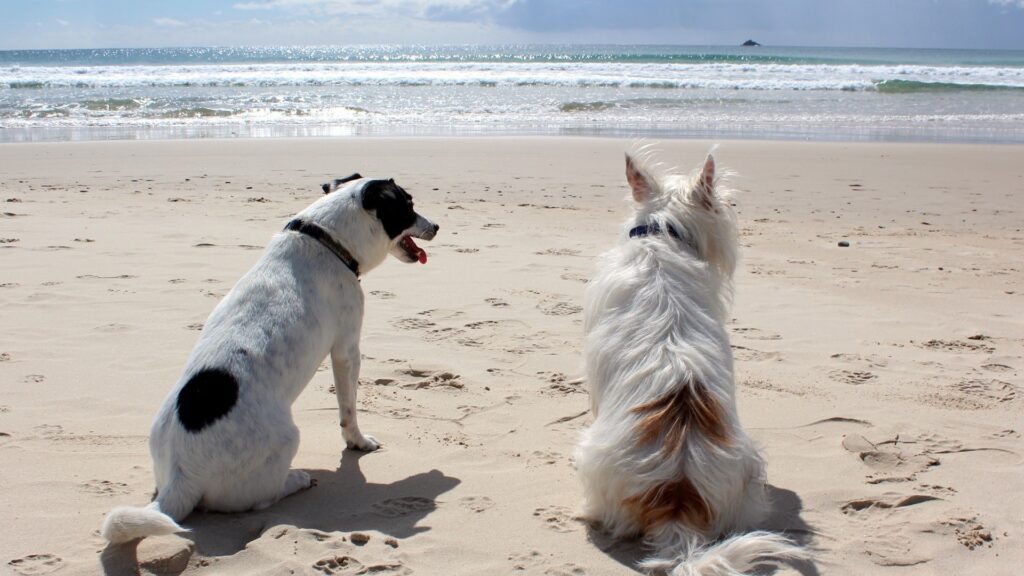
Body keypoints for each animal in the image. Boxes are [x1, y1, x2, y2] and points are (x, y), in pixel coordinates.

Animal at [101, 172, 438, 541]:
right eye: (408, 205)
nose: (436, 226)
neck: (326, 239)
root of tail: (181, 476)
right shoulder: (347, 350)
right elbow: (348, 410)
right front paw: (358, 442)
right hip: (287, 440)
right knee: (262, 498)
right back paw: (296, 479)